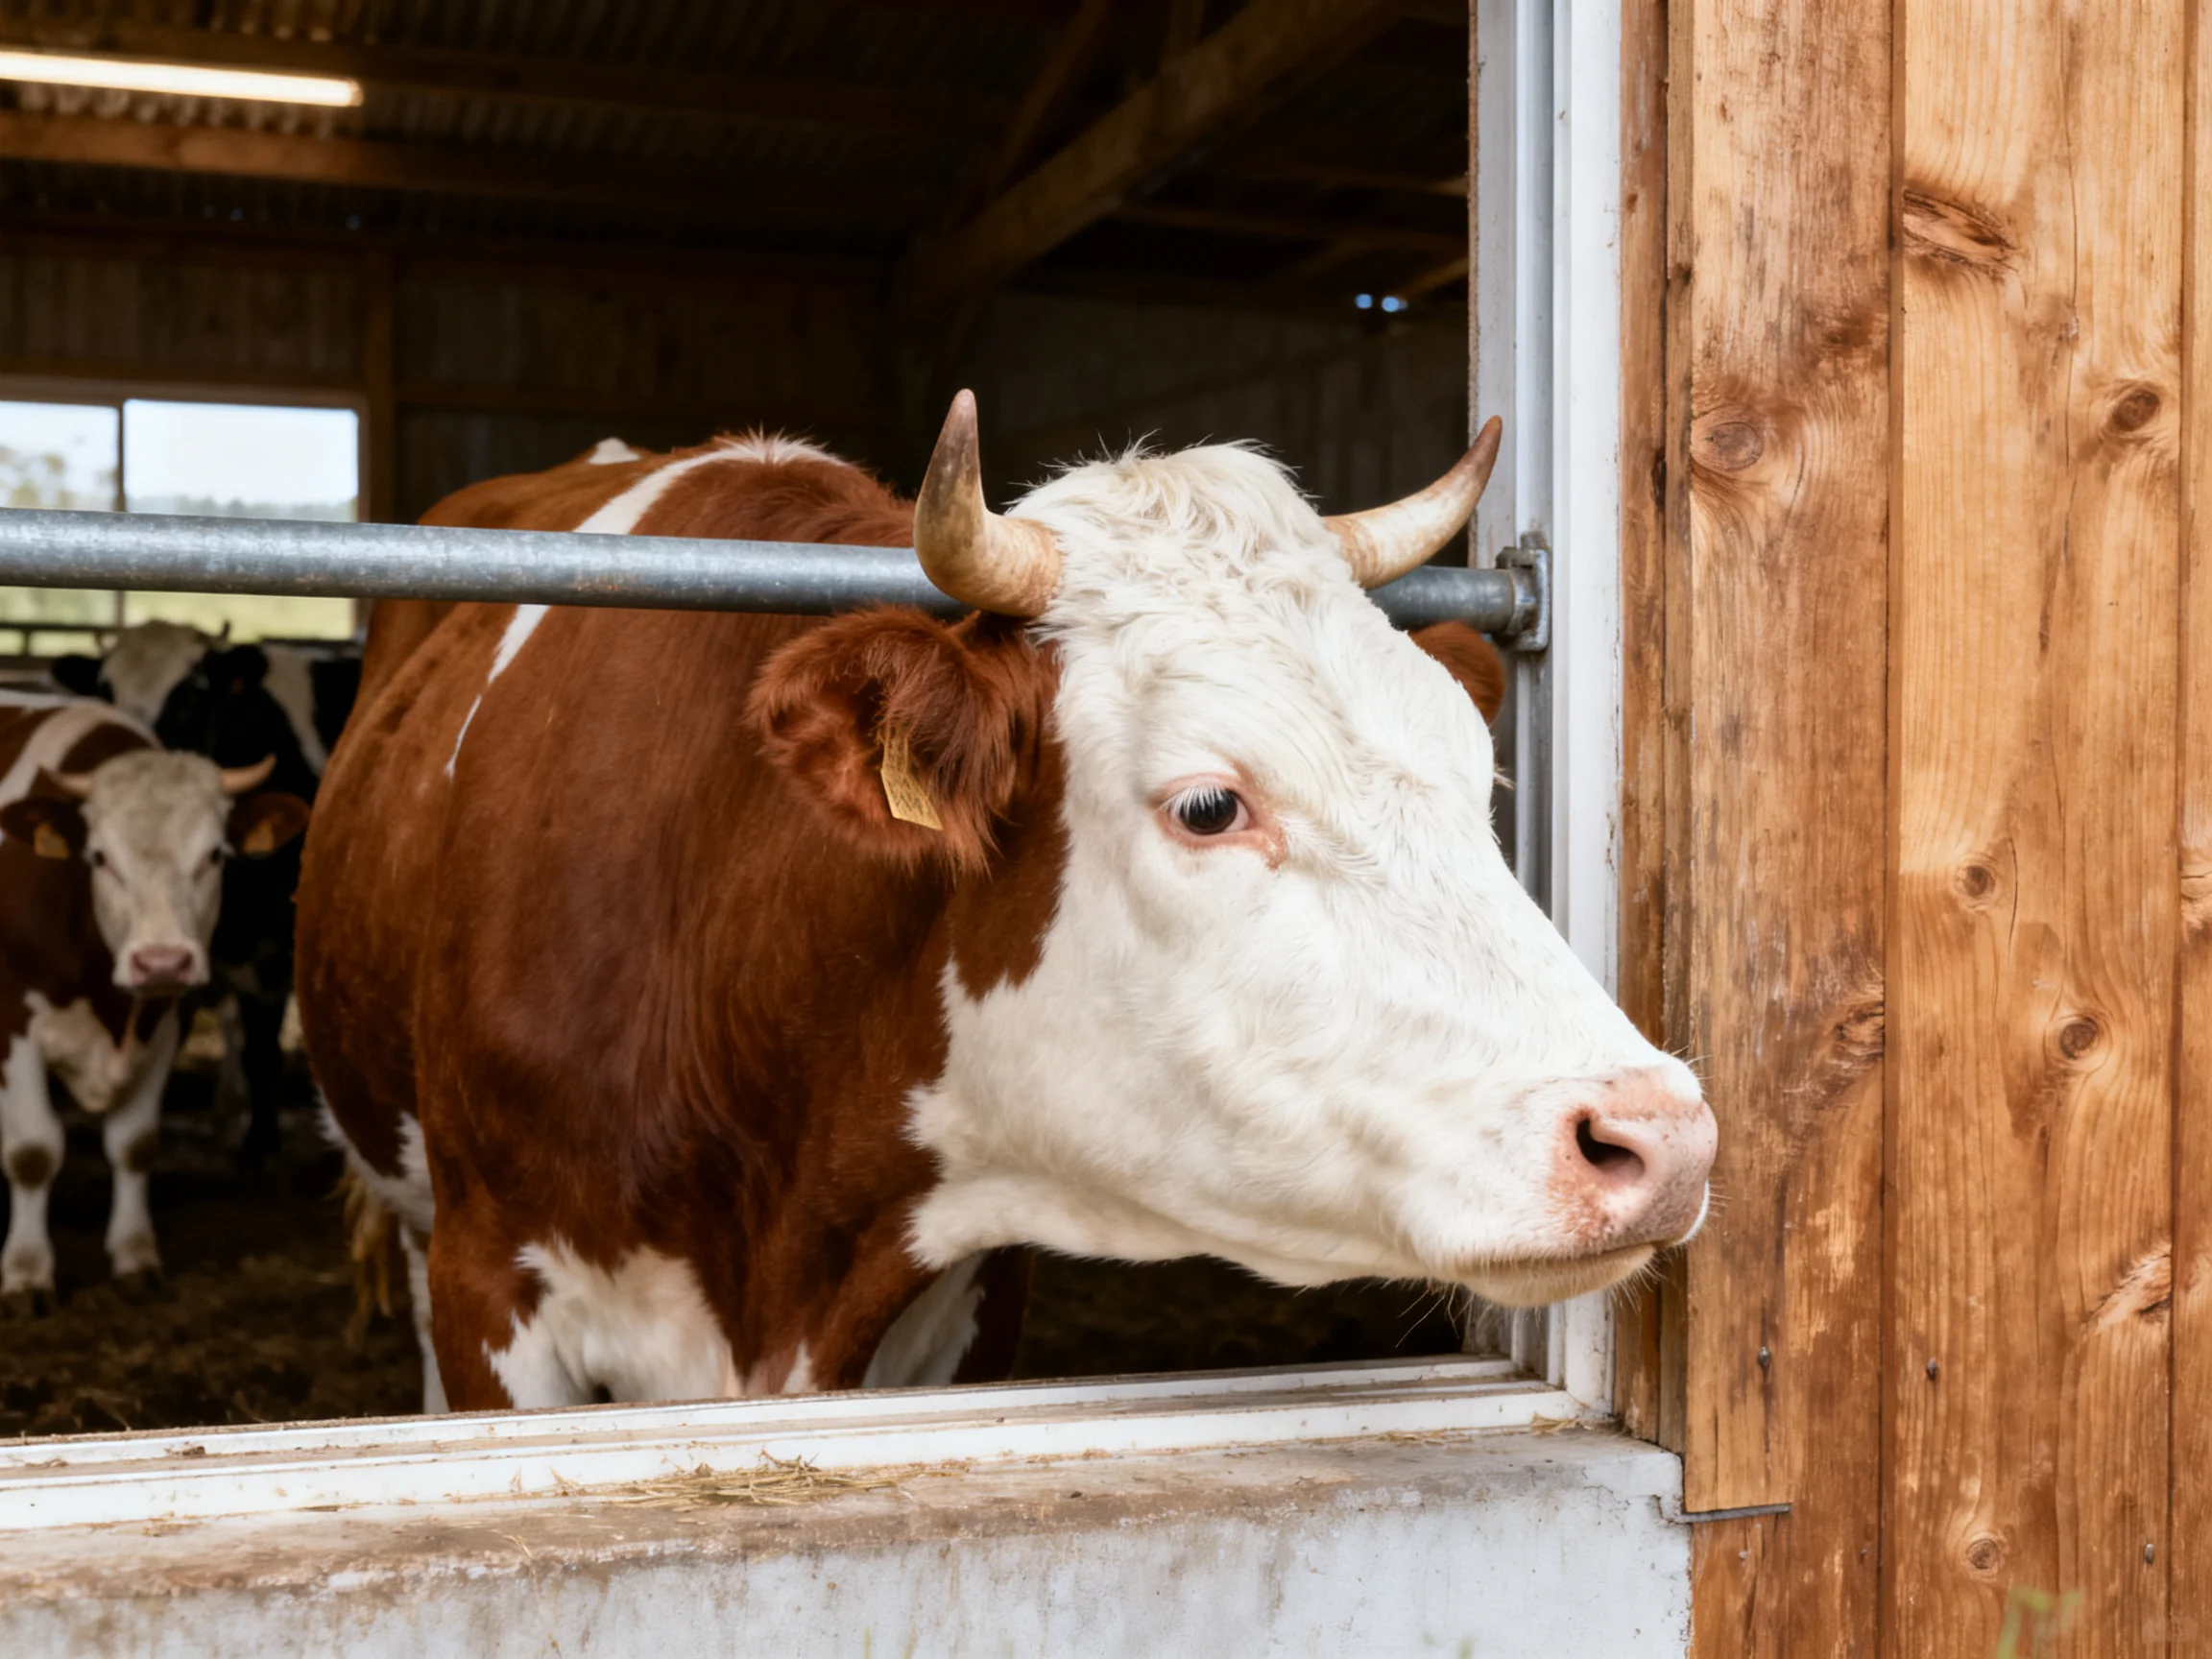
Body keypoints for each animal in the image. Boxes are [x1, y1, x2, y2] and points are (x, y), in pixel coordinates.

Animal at [0, 693, 309, 1316]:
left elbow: (136, 1145)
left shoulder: (168, 1020)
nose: (162, 960)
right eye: (98, 856)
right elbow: (32, 1149)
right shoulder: (12, 1018)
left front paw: (135, 1258)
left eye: (215, 854)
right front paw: (26, 1274)